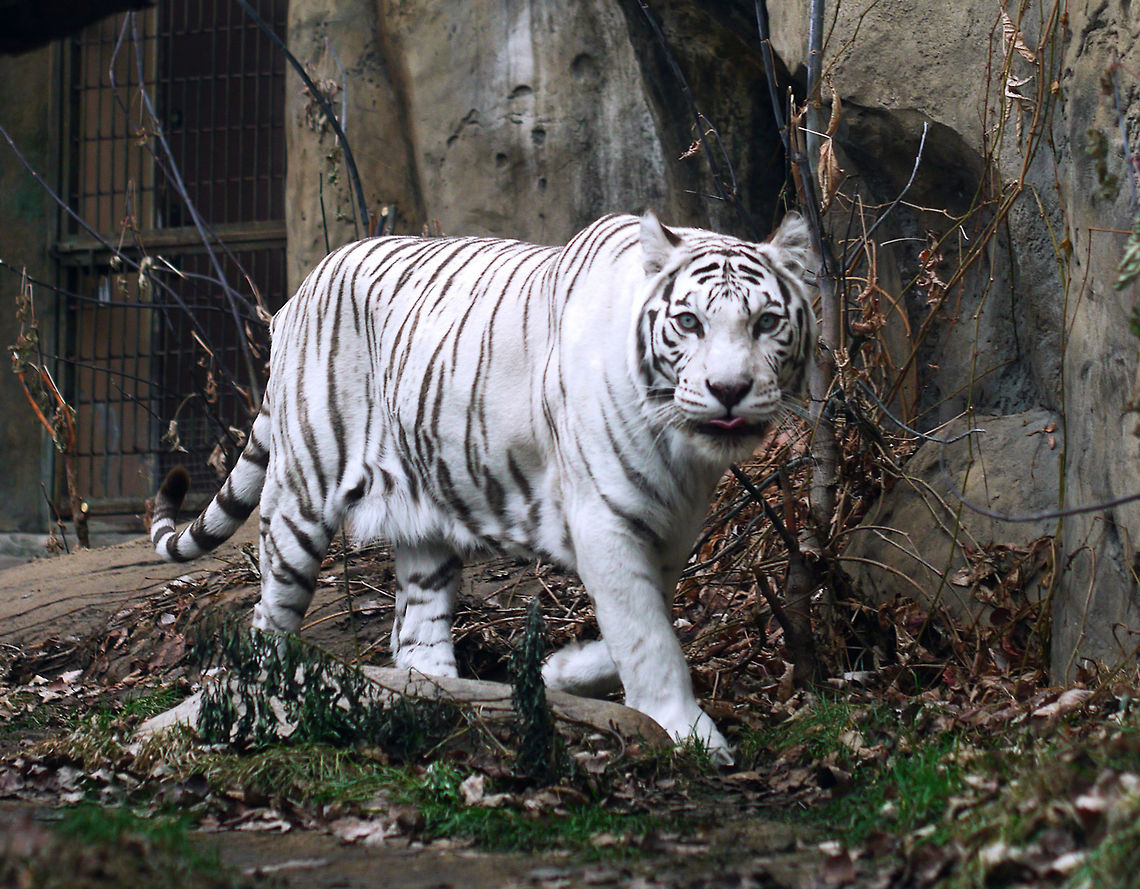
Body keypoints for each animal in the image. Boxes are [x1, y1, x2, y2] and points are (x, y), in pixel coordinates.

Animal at [150, 211, 818, 764]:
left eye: (766, 323)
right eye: (688, 322)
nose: (729, 389)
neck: (682, 453)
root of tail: (298, 294)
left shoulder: (669, 529)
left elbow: (641, 623)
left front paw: (559, 671)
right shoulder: (605, 520)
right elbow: (646, 635)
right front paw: (690, 732)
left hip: (422, 524)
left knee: (415, 640)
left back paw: (445, 701)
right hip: (300, 498)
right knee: (269, 619)